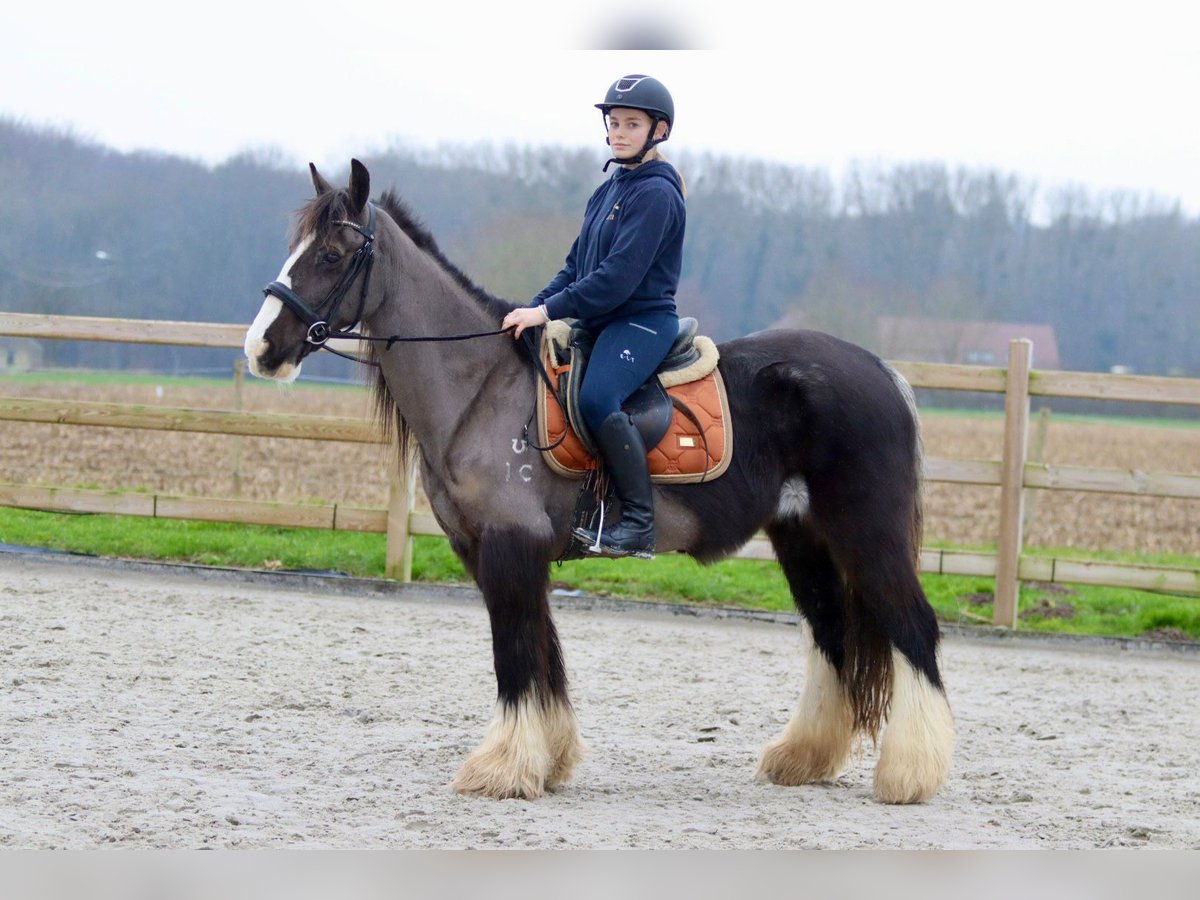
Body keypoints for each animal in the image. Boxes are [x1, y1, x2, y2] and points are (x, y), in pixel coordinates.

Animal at [246, 158, 955, 806]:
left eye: (331, 254)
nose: (260, 348)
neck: (483, 389)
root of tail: (882, 371)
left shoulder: (510, 546)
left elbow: (516, 654)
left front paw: (503, 768)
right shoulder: (492, 552)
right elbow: (543, 654)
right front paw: (548, 758)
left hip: (866, 534)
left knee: (913, 628)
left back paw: (910, 774)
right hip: (803, 538)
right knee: (832, 633)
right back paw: (804, 757)